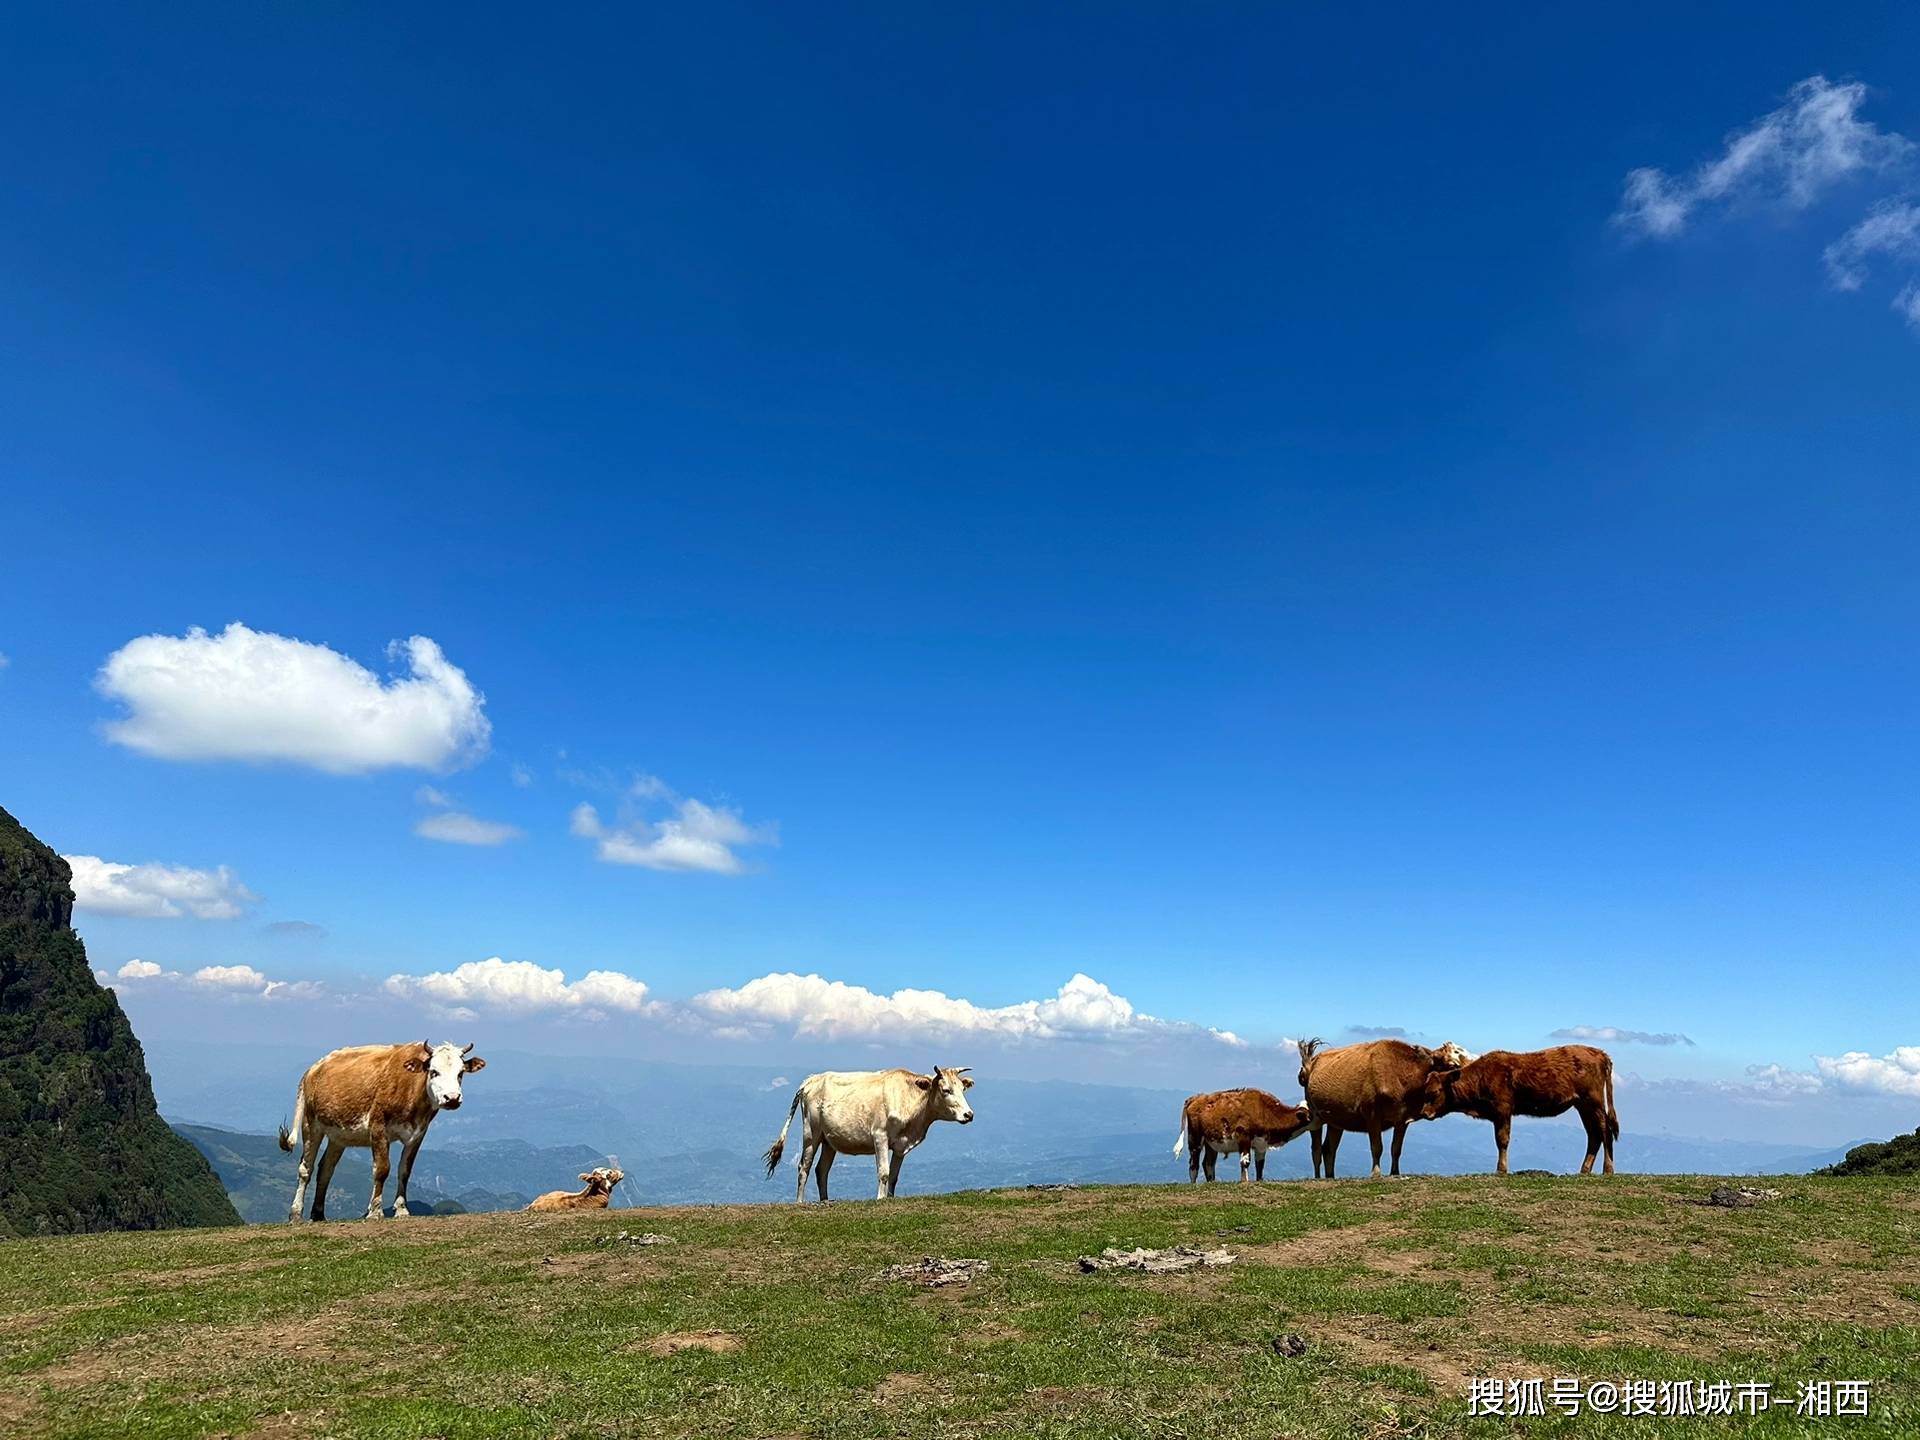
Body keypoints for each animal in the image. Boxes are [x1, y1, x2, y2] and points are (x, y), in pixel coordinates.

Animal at [278, 1044, 487, 1221]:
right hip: (311, 1124)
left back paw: (318, 1213)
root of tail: (314, 1068)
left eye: (461, 1073)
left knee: (326, 1170)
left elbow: (405, 1171)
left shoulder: (418, 1134)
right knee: (306, 1168)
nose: (452, 1098)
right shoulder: (378, 1128)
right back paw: (295, 1214)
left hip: (339, 1136)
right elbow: (382, 1169)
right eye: (434, 1072)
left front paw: (402, 1209)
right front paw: (375, 1211)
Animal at [760, 1067, 975, 1198]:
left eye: (962, 1089)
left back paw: (825, 1200)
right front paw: (880, 1199)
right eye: (946, 1090)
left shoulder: (901, 1146)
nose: (969, 1114)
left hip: (829, 1141)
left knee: (821, 1170)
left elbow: (894, 1176)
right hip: (811, 1134)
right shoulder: (880, 1136)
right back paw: (800, 1202)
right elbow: (884, 1172)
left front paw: (890, 1198)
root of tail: (810, 1080)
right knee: (804, 1167)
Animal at [1167, 1090, 1320, 1182]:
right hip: (1195, 1138)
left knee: (1208, 1163)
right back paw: (1194, 1184)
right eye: (1314, 1113)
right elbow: (1245, 1162)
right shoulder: (1243, 1137)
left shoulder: (1261, 1143)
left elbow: (1260, 1165)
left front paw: (1259, 1180)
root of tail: (1197, 1097)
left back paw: (1212, 1182)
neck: (1265, 1111)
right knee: (1194, 1164)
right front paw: (1244, 1182)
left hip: (1212, 1142)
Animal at [1413, 1052, 1620, 1175]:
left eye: (1434, 1092)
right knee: (1594, 1135)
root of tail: (1601, 1054)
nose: (1424, 1113)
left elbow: (1502, 1140)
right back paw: (1585, 1170)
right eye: (1424, 1091)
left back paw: (1608, 1169)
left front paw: (1501, 1169)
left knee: (1605, 1131)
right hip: (1583, 1105)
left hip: (1593, 1101)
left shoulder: (1503, 1109)